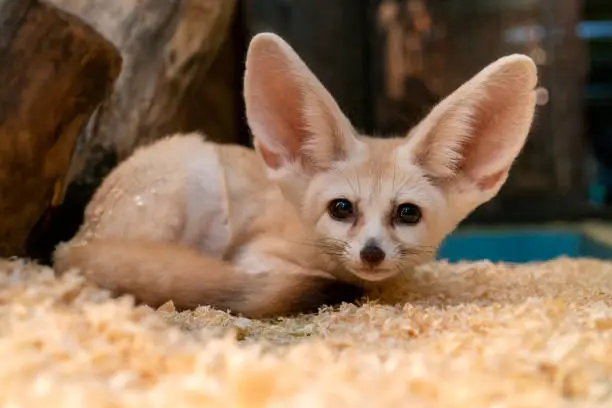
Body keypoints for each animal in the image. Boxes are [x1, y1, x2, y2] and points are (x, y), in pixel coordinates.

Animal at [53, 31, 540, 318]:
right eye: (341, 208)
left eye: (407, 213)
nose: (372, 254)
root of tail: (74, 243)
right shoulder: (256, 257)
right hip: (195, 170)